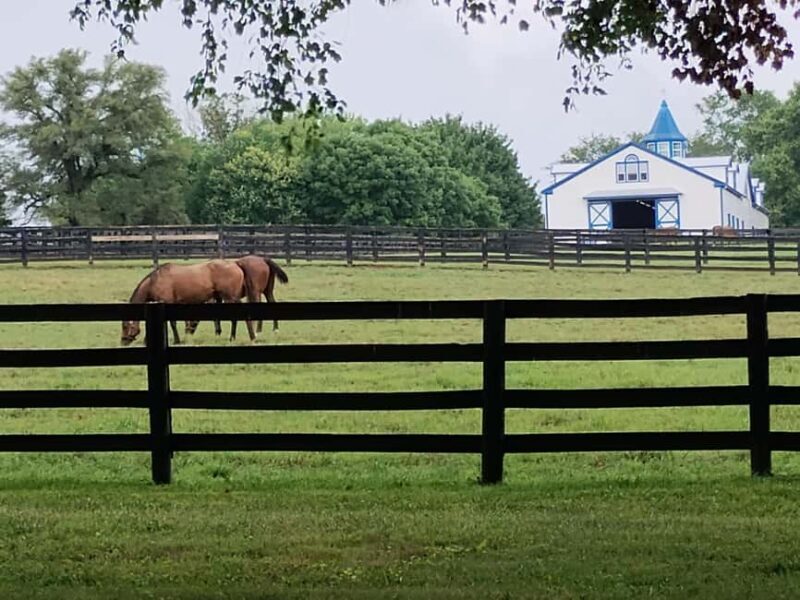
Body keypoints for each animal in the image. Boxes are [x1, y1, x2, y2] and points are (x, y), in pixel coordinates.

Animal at [121, 259, 257, 346]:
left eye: (125, 326)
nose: (123, 341)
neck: (155, 281)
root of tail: (235, 263)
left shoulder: (167, 302)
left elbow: (172, 323)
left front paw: (177, 340)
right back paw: (232, 337)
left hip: (231, 297)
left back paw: (250, 337)